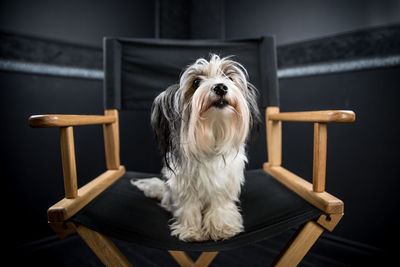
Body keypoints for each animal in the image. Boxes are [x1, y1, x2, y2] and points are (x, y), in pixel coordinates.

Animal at [133, 54, 260, 243]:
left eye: (229, 78)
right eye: (196, 82)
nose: (220, 87)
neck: (214, 134)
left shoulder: (222, 187)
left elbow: (219, 206)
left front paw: (222, 228)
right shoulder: (184, 189)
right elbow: (189, 210)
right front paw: (191, 231)